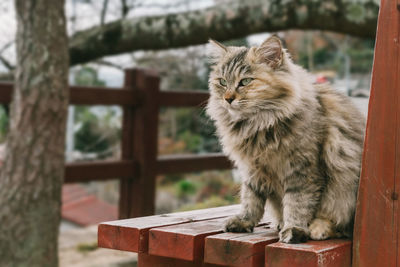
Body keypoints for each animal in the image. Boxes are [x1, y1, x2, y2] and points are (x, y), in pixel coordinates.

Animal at [206, 36, 366, 245]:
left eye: (245, 81)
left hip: (344, 194)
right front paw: (244, 221)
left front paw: (294, 229)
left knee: (340, 225)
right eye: (223, 82)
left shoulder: (302, 170)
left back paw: (316, 228)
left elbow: (297, 203)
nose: (228, 99)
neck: (259, 124)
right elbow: (250, 199)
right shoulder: (252, 170)